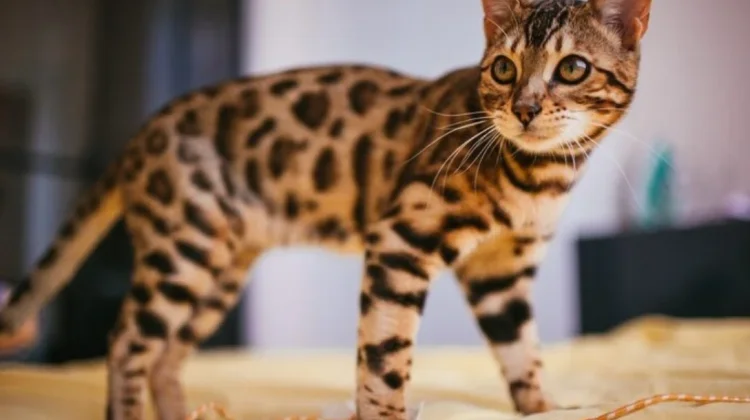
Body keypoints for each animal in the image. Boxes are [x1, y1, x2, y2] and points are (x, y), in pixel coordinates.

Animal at [0, 0, 653, 419]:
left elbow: (524, 354)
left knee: (166, 355)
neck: (539, 180)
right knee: (128, 343)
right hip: (183, 251)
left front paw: (546, 408)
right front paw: (384, 413)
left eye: (572, 68)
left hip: (217, 271)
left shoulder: (501, 272)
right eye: (502, 68)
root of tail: (139, 135)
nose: (524, 108)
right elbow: (384, 356)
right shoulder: (401, 240)